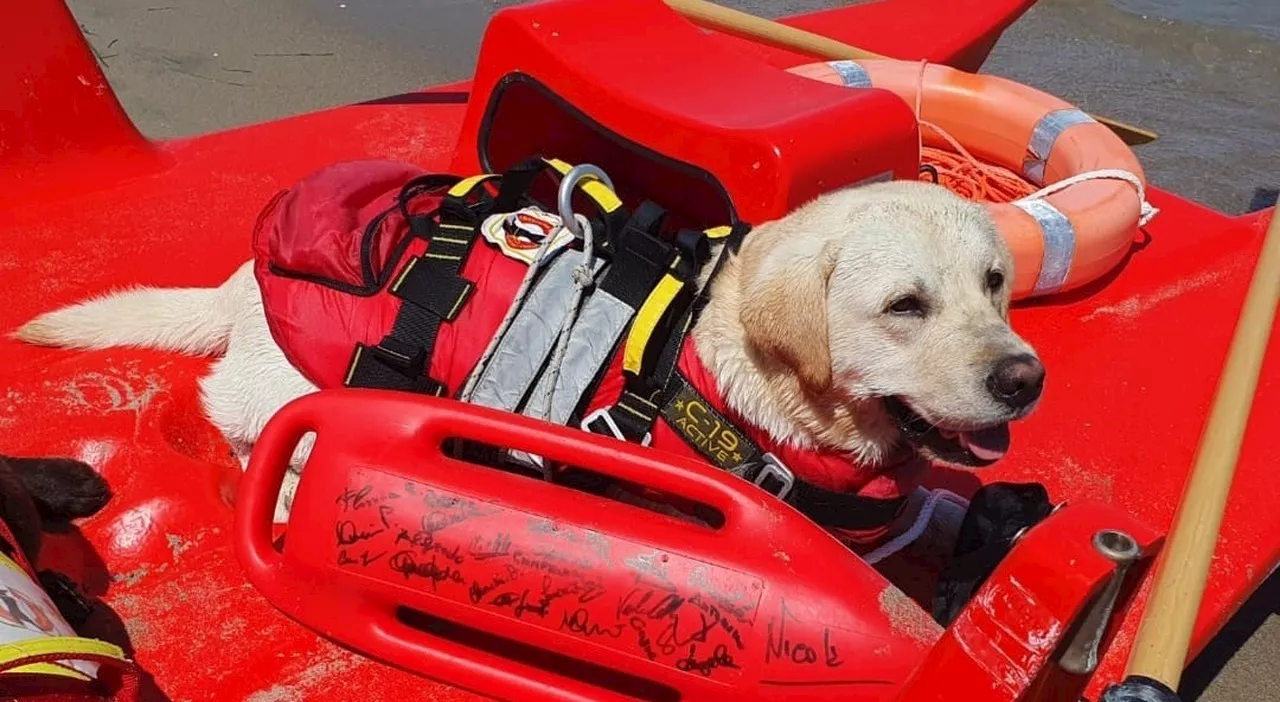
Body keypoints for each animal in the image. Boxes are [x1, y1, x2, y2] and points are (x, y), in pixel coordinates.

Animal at [15, 178, 1044, 530]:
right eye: (905, 306)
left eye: (996, 282)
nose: (1024, 378)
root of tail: (241, 283)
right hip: (285, 389)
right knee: (241, 422)